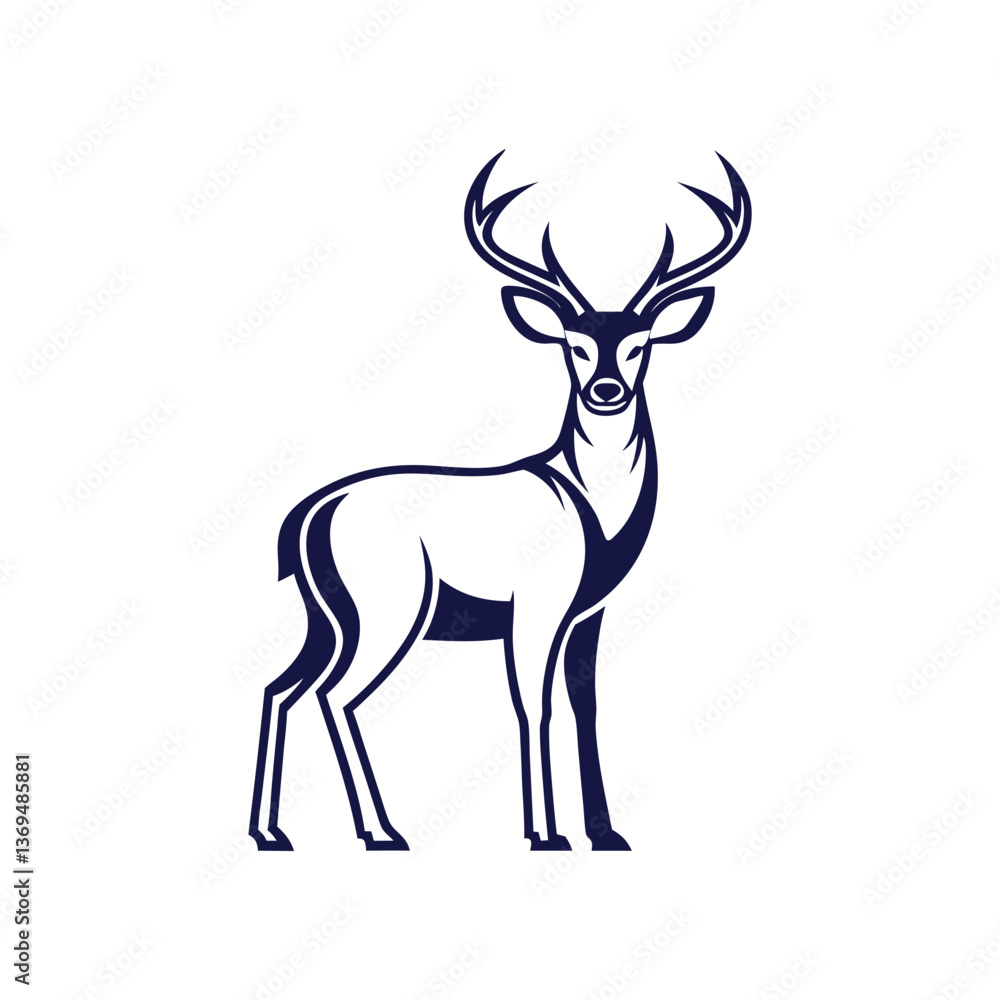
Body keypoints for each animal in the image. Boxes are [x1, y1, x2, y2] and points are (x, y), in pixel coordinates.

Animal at [249, 151, 751, 852]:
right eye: (574, 343)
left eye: (639, 343)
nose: (606, 390)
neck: (591, 510)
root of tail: (309, 514)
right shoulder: (535, 605)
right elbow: (531, 703)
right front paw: (545, 834)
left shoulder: (587, 613)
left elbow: (583, 701)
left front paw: (606, 833)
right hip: (389, 608)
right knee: (337, 696)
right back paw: (382, 832)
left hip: (328, 616)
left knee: (281, 687)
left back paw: (273, 833)